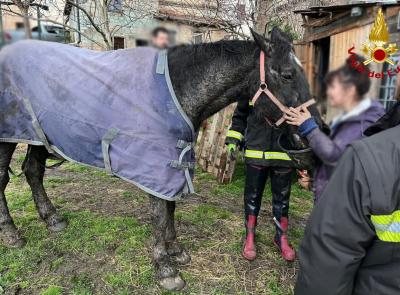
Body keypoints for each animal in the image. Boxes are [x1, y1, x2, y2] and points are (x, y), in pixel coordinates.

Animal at [0, 28, 324, 292]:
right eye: (287, 74)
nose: (313, 136)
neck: (176, 92)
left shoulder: (172, 163)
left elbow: (170, 208)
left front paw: (176, 251)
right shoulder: (154, 167)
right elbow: (158, 213)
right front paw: (166, 269)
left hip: (39, 135)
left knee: (33, 171)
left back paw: (52, 219)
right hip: (8, 136)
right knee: (4, 179)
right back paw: (12, 234)